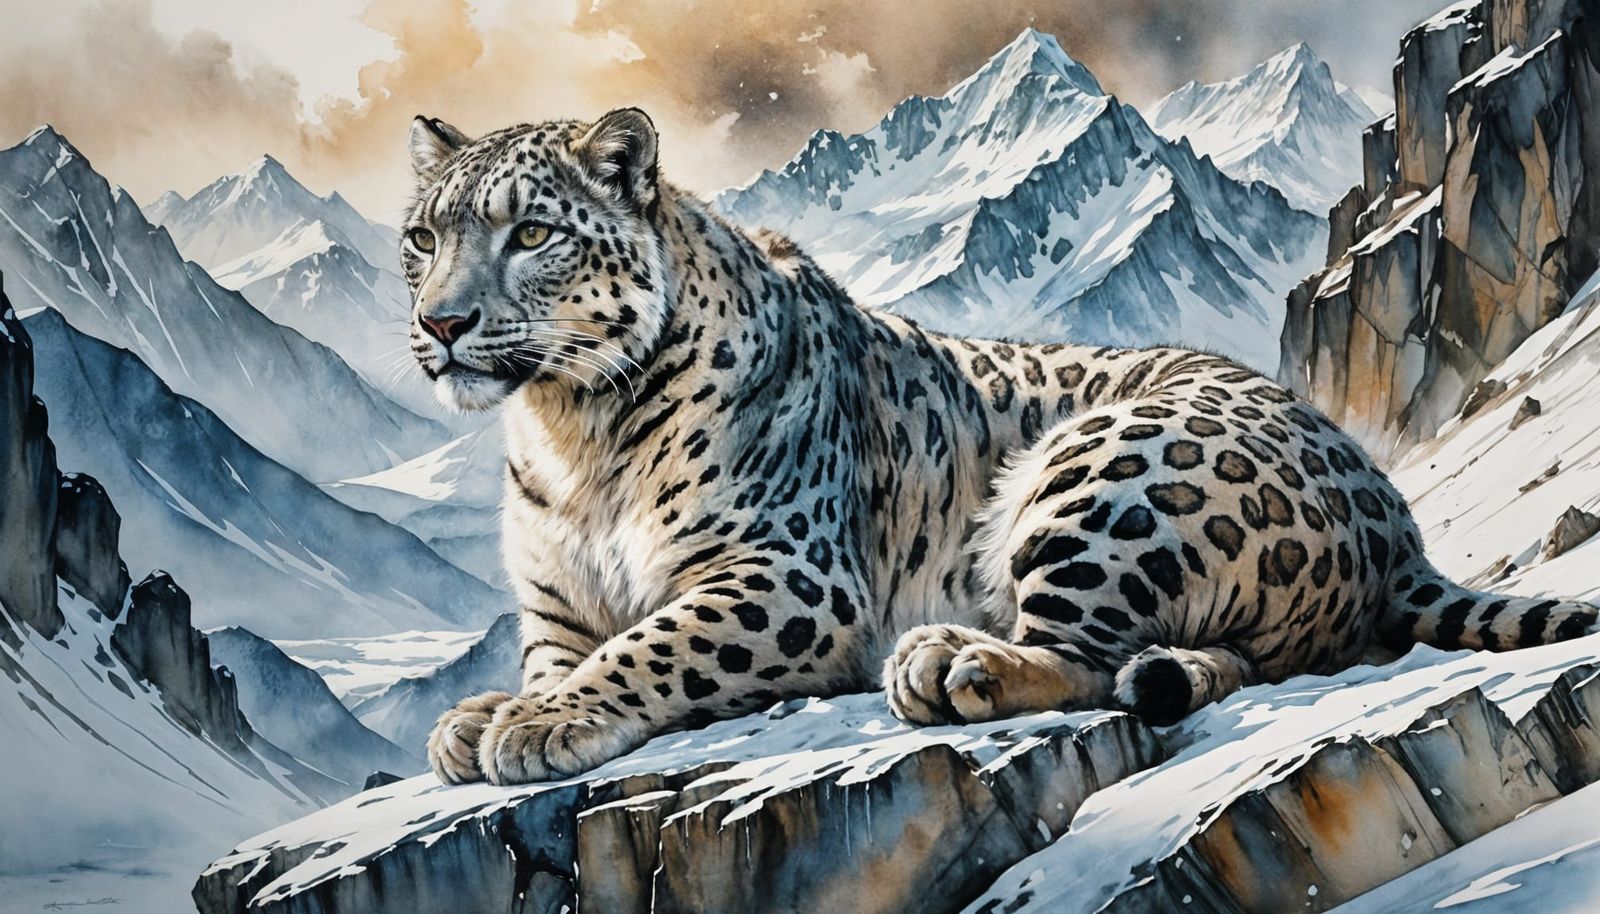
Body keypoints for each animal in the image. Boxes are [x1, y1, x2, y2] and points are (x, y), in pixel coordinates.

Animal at [401, 108, 1598, 786]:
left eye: (532, 232)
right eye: (422, 235)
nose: (441, 322)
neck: (569, 431)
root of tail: (1392, 516)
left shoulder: (786, 573)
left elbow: (650, 646)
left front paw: (534, 722)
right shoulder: (555, 603)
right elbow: (570, 647)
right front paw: (486, 713)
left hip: (1104, 473)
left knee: (1086, 654)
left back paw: (949, 662)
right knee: (1199, 661)